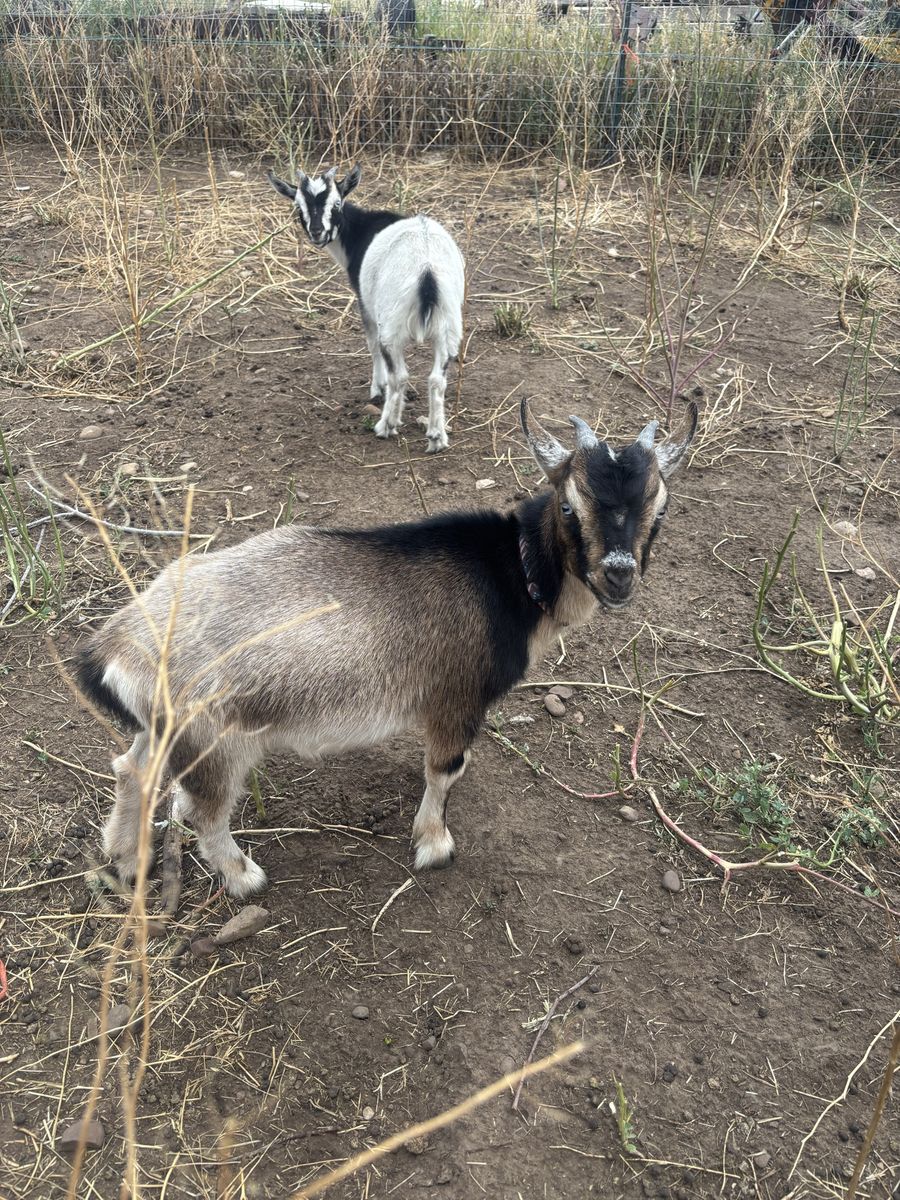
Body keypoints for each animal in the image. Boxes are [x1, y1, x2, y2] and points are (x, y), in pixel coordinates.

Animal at [75, 400, 697, 898]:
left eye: (661, 509)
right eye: (570, 506)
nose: (618, 575)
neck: (511, 574)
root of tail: (114, 646)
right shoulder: (457, 699)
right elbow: (444, 770)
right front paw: (434, 844)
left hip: (161, 728)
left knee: (132, 769)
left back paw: (123, 859)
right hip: (215, 742)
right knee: (205, 813)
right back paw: (243, 878)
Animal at [268, 164, 465, 454]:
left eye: (337, 203)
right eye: (297, 206)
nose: (317, 231)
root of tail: (426, 269)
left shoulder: (366, 303)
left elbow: (371, 345)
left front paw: (376, 388)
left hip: (392, 323)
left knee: (399, 375)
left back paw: (386, 426)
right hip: (448, 323)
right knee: (437, 379)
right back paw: (437, 437)